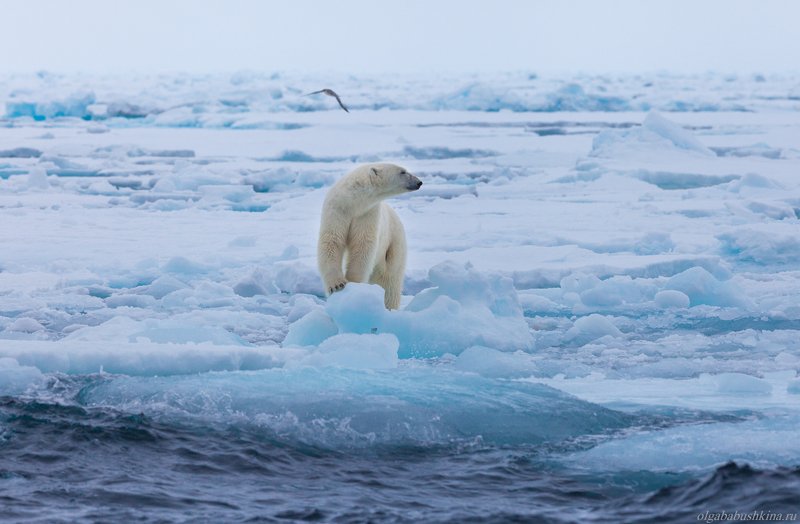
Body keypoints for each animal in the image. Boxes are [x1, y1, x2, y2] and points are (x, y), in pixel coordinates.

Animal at [317, 163, 422, 309]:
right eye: (403, 172)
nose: (419, 182)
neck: (353, 202)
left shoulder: (368, 213)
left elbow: (363, 246)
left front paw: (354, 284)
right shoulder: (337, 210)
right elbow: (331, 241)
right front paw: (337, 285)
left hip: (394, 246)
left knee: (390, 282)